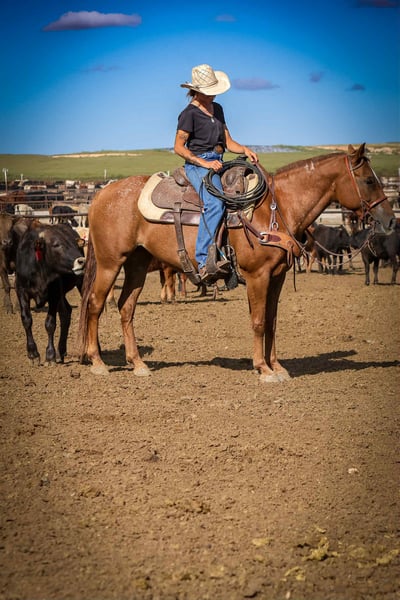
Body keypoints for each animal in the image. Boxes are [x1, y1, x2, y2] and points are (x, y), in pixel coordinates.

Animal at [15, 223, 86, 364]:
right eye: (56, 244)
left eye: (74, 244)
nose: (81, 261)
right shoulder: (21, 290)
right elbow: (26, 320)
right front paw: (33, 353)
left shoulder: (54, 293)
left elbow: (50, 323)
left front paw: (50, 355)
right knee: (65, 313)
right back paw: (61, 351)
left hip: (80, 283)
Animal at [78, 144, 395, 383]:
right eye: (368, 180)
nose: (390, 220)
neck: (275, 208)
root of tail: (101, 195)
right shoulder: (258, 276)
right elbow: (257, 321)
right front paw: (263, 369)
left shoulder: (277, 276)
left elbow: (272, 321)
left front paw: (277, 366)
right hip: (110, 262)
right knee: (94, 303)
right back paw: (98, 362)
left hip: (137, 263)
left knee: (126, 307)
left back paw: (138, 364)